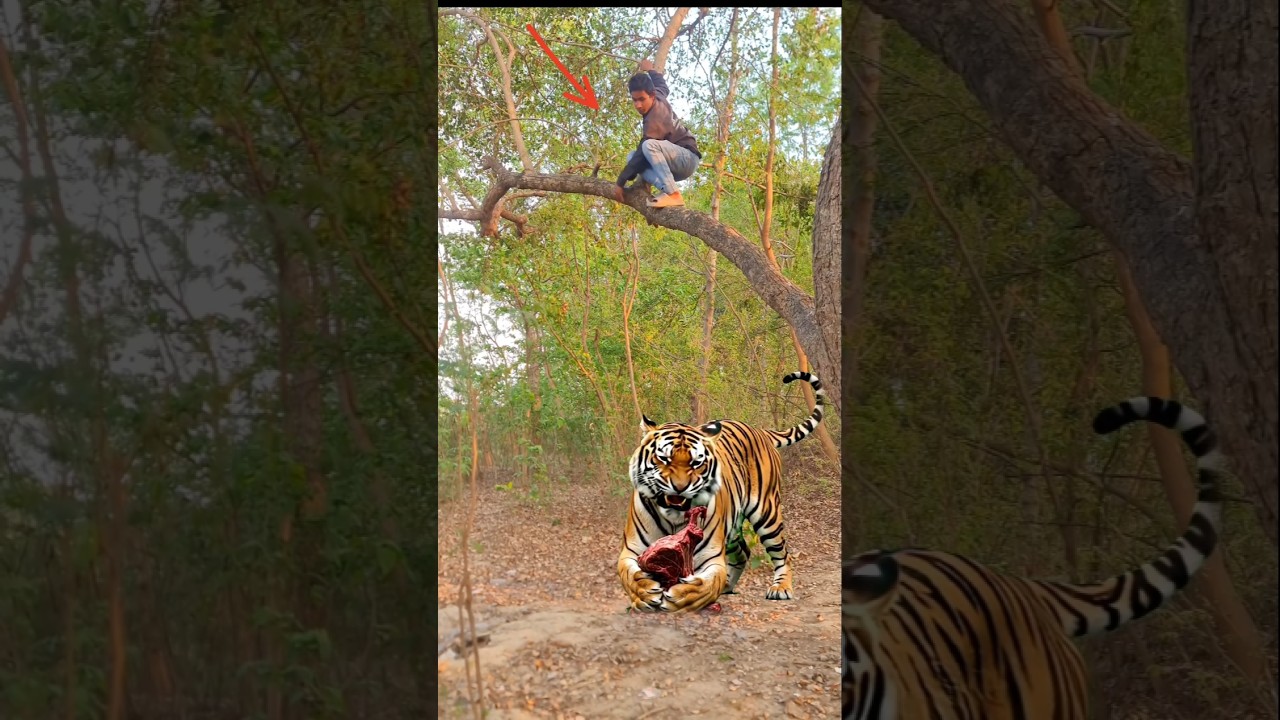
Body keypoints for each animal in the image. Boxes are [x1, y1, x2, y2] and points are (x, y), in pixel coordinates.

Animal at [618, 371, 826, 613]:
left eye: (696, 462)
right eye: (664, 458)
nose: (680, 487)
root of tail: (760, 431)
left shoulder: (712, 557)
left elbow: (703, 584)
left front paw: (685, 595)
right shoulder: (630, 551)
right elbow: (631, 576)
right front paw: (644, 593)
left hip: (767, 514)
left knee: (783, 554)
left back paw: (780, 588)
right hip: (733, 527)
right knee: (743, 552)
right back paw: (727, 585)